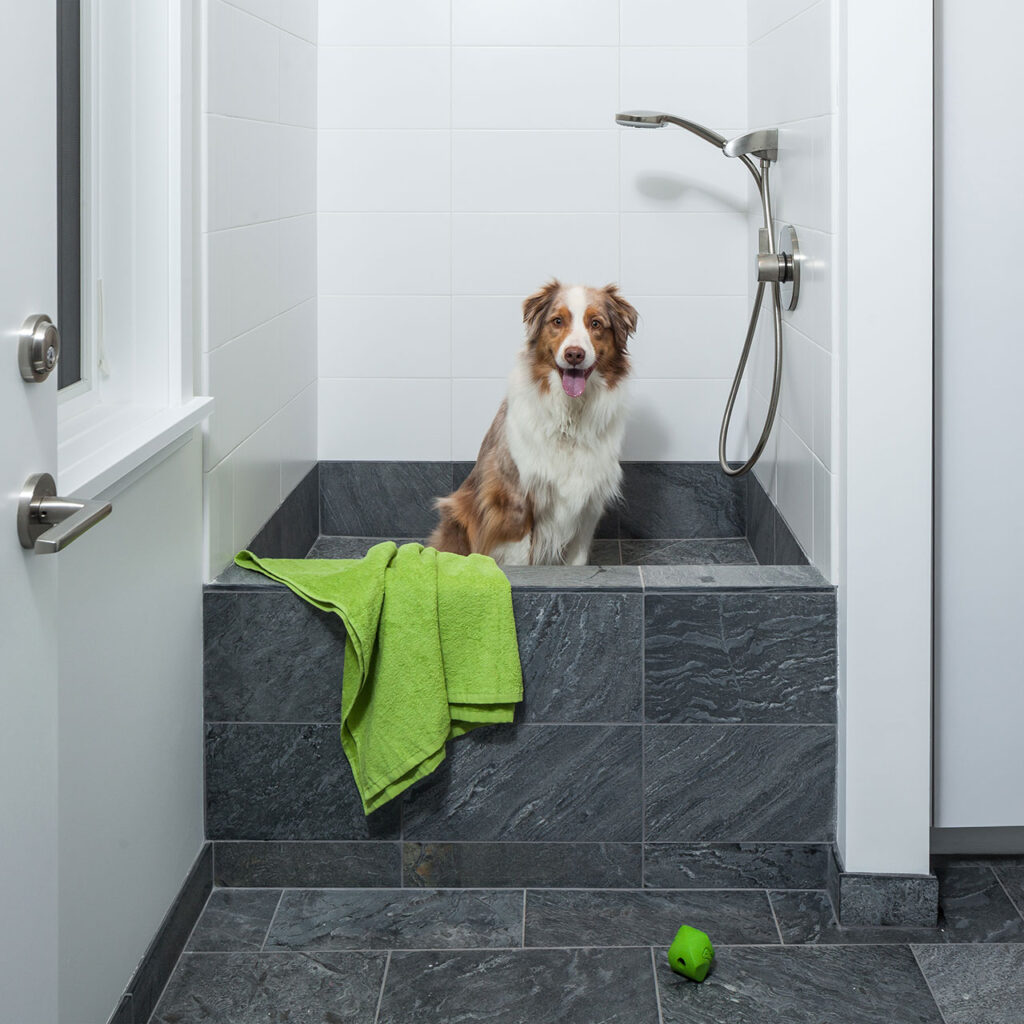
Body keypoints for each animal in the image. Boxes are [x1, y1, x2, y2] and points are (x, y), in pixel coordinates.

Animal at [425, 280, 634, 569]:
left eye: (596, 323)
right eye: (557, 321)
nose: (574, 354)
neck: (569, 417)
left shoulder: (588, 500)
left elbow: (578, 557)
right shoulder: (513, 496)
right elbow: (519, 555)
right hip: (458, 513)